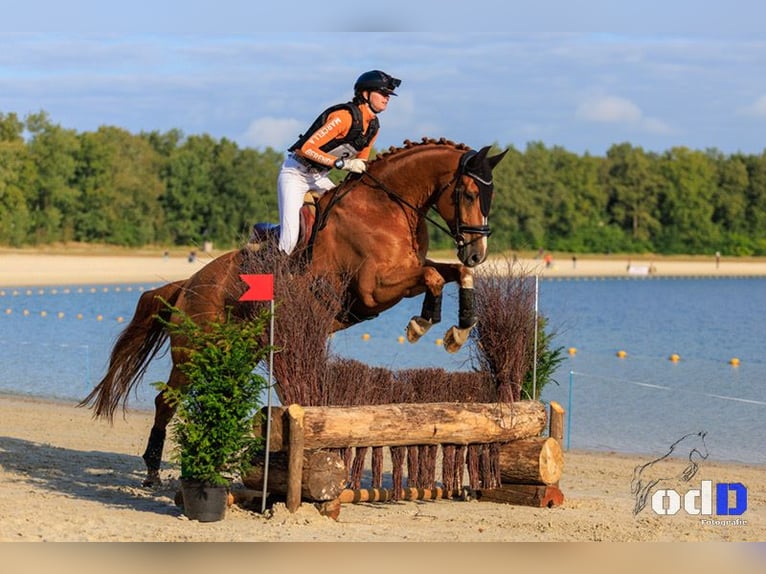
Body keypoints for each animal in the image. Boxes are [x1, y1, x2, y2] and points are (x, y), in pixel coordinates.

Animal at [80, 137, 508, 486]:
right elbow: (434, 277)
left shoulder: (405, 275)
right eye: (469, 193)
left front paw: (458, 329)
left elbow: (453, 273)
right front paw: (423, 323)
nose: (477, 251)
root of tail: (186, 286)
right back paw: (153, 470)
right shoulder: (374, 290)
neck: (386, 207)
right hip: (194, 353)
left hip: (239, 352)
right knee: (166, 401)